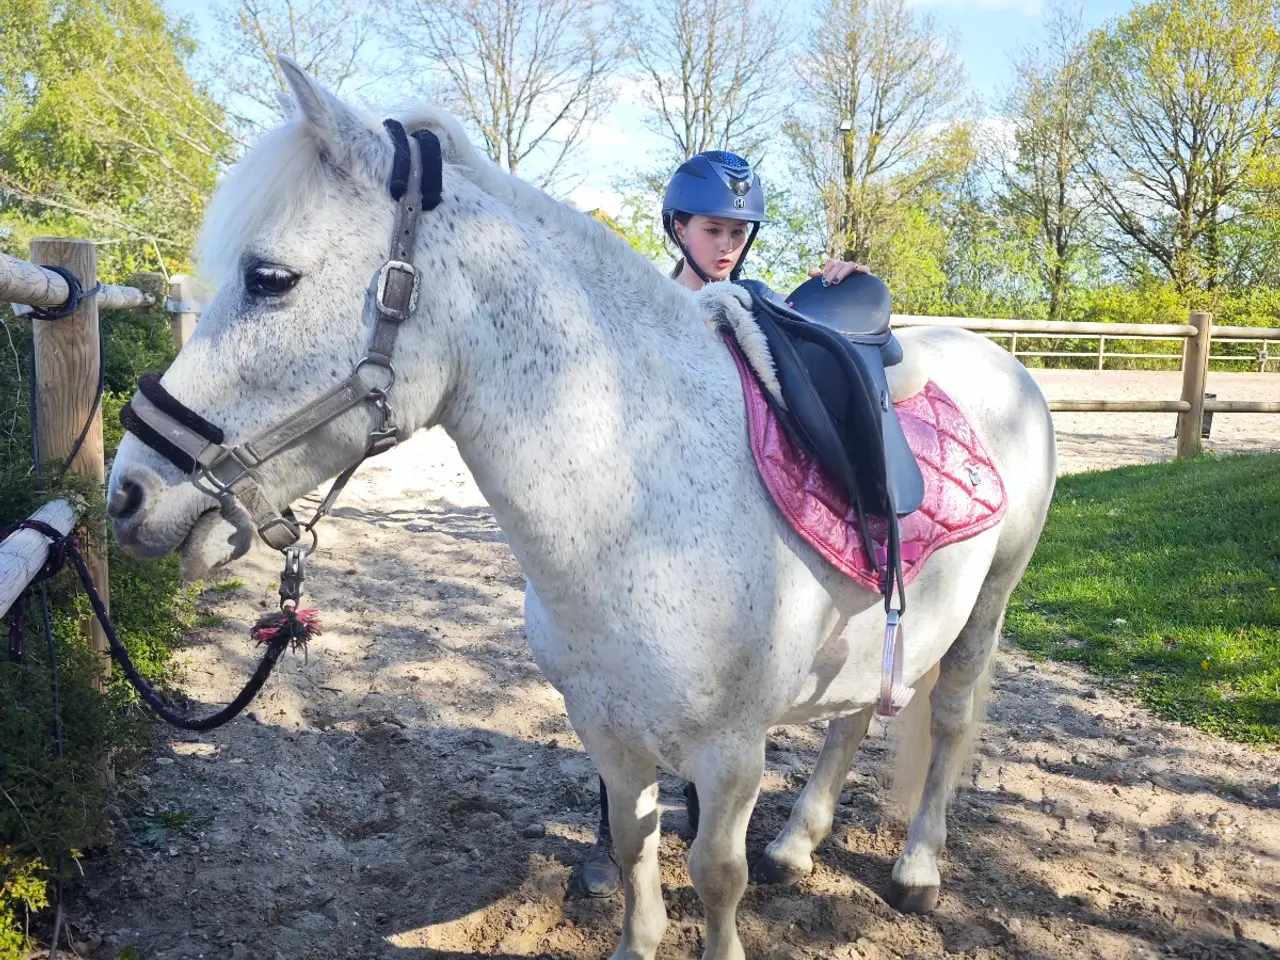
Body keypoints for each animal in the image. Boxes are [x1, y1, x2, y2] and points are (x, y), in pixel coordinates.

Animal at [107, 58, 1057, 960]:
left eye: (270, 279)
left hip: (989, 605)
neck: (640, 503)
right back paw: (798, 845)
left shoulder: (730, 754)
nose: (126, 493)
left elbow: (716, 876)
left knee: (949, 719)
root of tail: (996, 358)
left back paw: (919, 867)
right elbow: (635, 849)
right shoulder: (606, 730)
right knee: (855, 715)